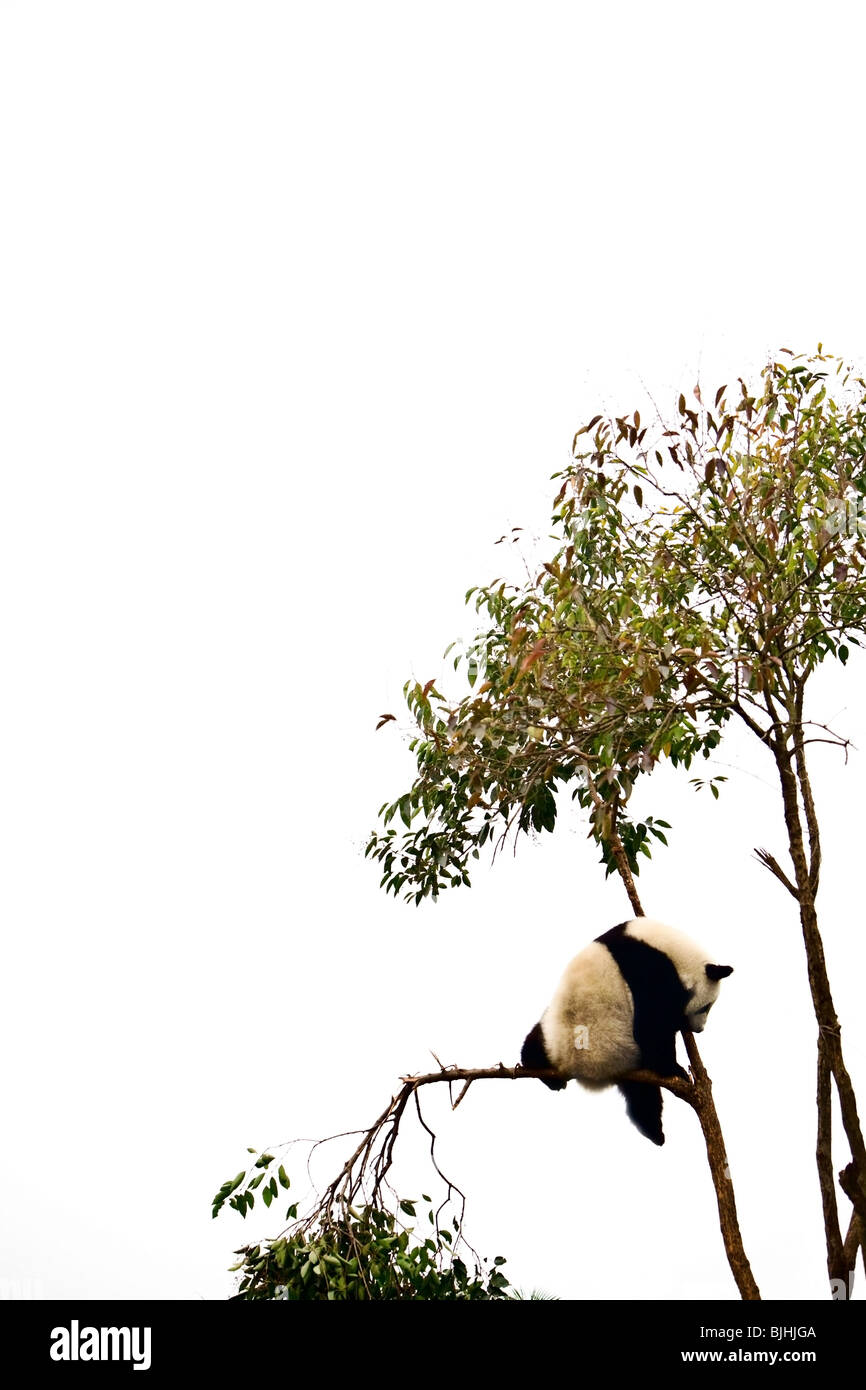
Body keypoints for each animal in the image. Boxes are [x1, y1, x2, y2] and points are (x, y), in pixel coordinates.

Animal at [522, 917, 733, 1145]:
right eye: (706, 1007)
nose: (699, 1029)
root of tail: (576, 1064)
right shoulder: (652, 970)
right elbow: (652, 1026)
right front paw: (676, 1066)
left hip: (553, 1031)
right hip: (624, 1051)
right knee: (645, 1088)